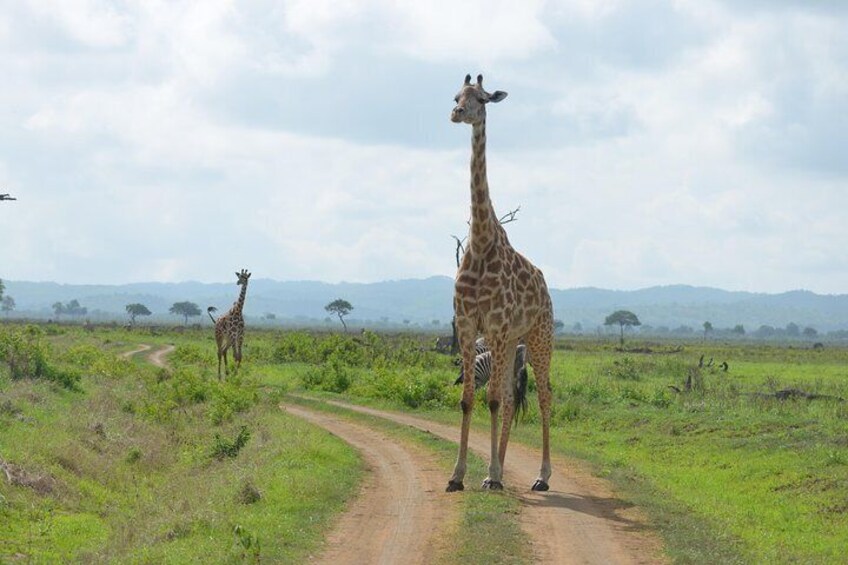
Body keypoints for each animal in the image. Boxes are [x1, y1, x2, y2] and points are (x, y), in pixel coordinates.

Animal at [444, 76, 556, 494]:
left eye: (481, 98)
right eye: (455, 96)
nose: (457, 113)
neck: (479, 243)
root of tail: (546, 287)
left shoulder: (495, 326)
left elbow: (489, 399)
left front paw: (490, 473)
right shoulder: (466, 325)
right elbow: (468, 399)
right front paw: (459, 475)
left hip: (538, 338)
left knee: (542, 396)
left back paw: (540, 476)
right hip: (512, 343)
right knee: (509, 398)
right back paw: (502, 470)